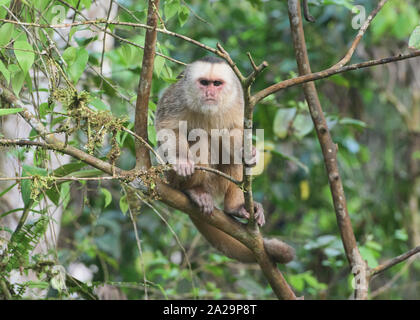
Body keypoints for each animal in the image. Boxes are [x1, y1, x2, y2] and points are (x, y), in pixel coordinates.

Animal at [155, 56, 296, 264]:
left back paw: (234, 208)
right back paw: (194, 190)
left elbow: (235, 130)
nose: (210, 92)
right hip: (171, 178)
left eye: (216, 84)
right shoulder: (178, 97)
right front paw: (182, 161)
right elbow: (168, 129)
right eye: (204, 82)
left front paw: (248, 152)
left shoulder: (238, 99)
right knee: (202, 139)